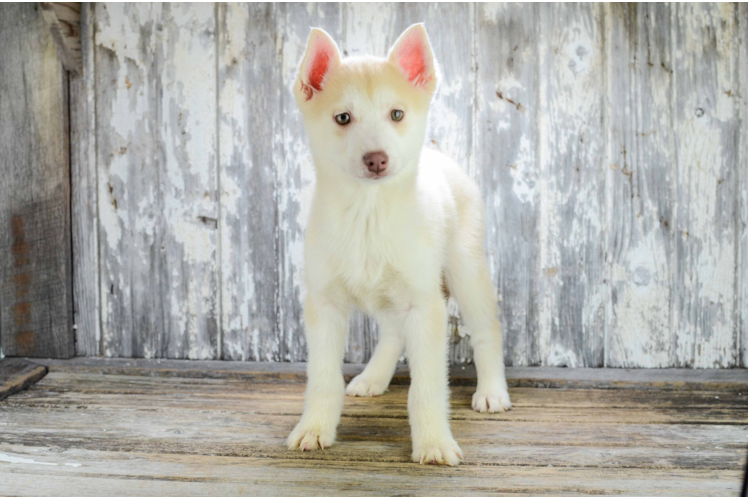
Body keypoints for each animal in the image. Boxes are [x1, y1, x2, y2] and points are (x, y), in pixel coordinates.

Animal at [284, 23, 512, 466]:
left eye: (397, 115)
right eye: (343, 118)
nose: (377, 159)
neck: (368, 213)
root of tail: (446, 160)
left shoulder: (425, 307)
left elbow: (426, 388)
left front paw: (434, 443)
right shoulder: (324, 305)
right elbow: (322, 378)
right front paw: (315, 428)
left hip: (465, 271)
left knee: (486, 329)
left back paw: (492, 391)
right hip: (393, 294)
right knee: (391, 333)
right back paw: (373, 376)